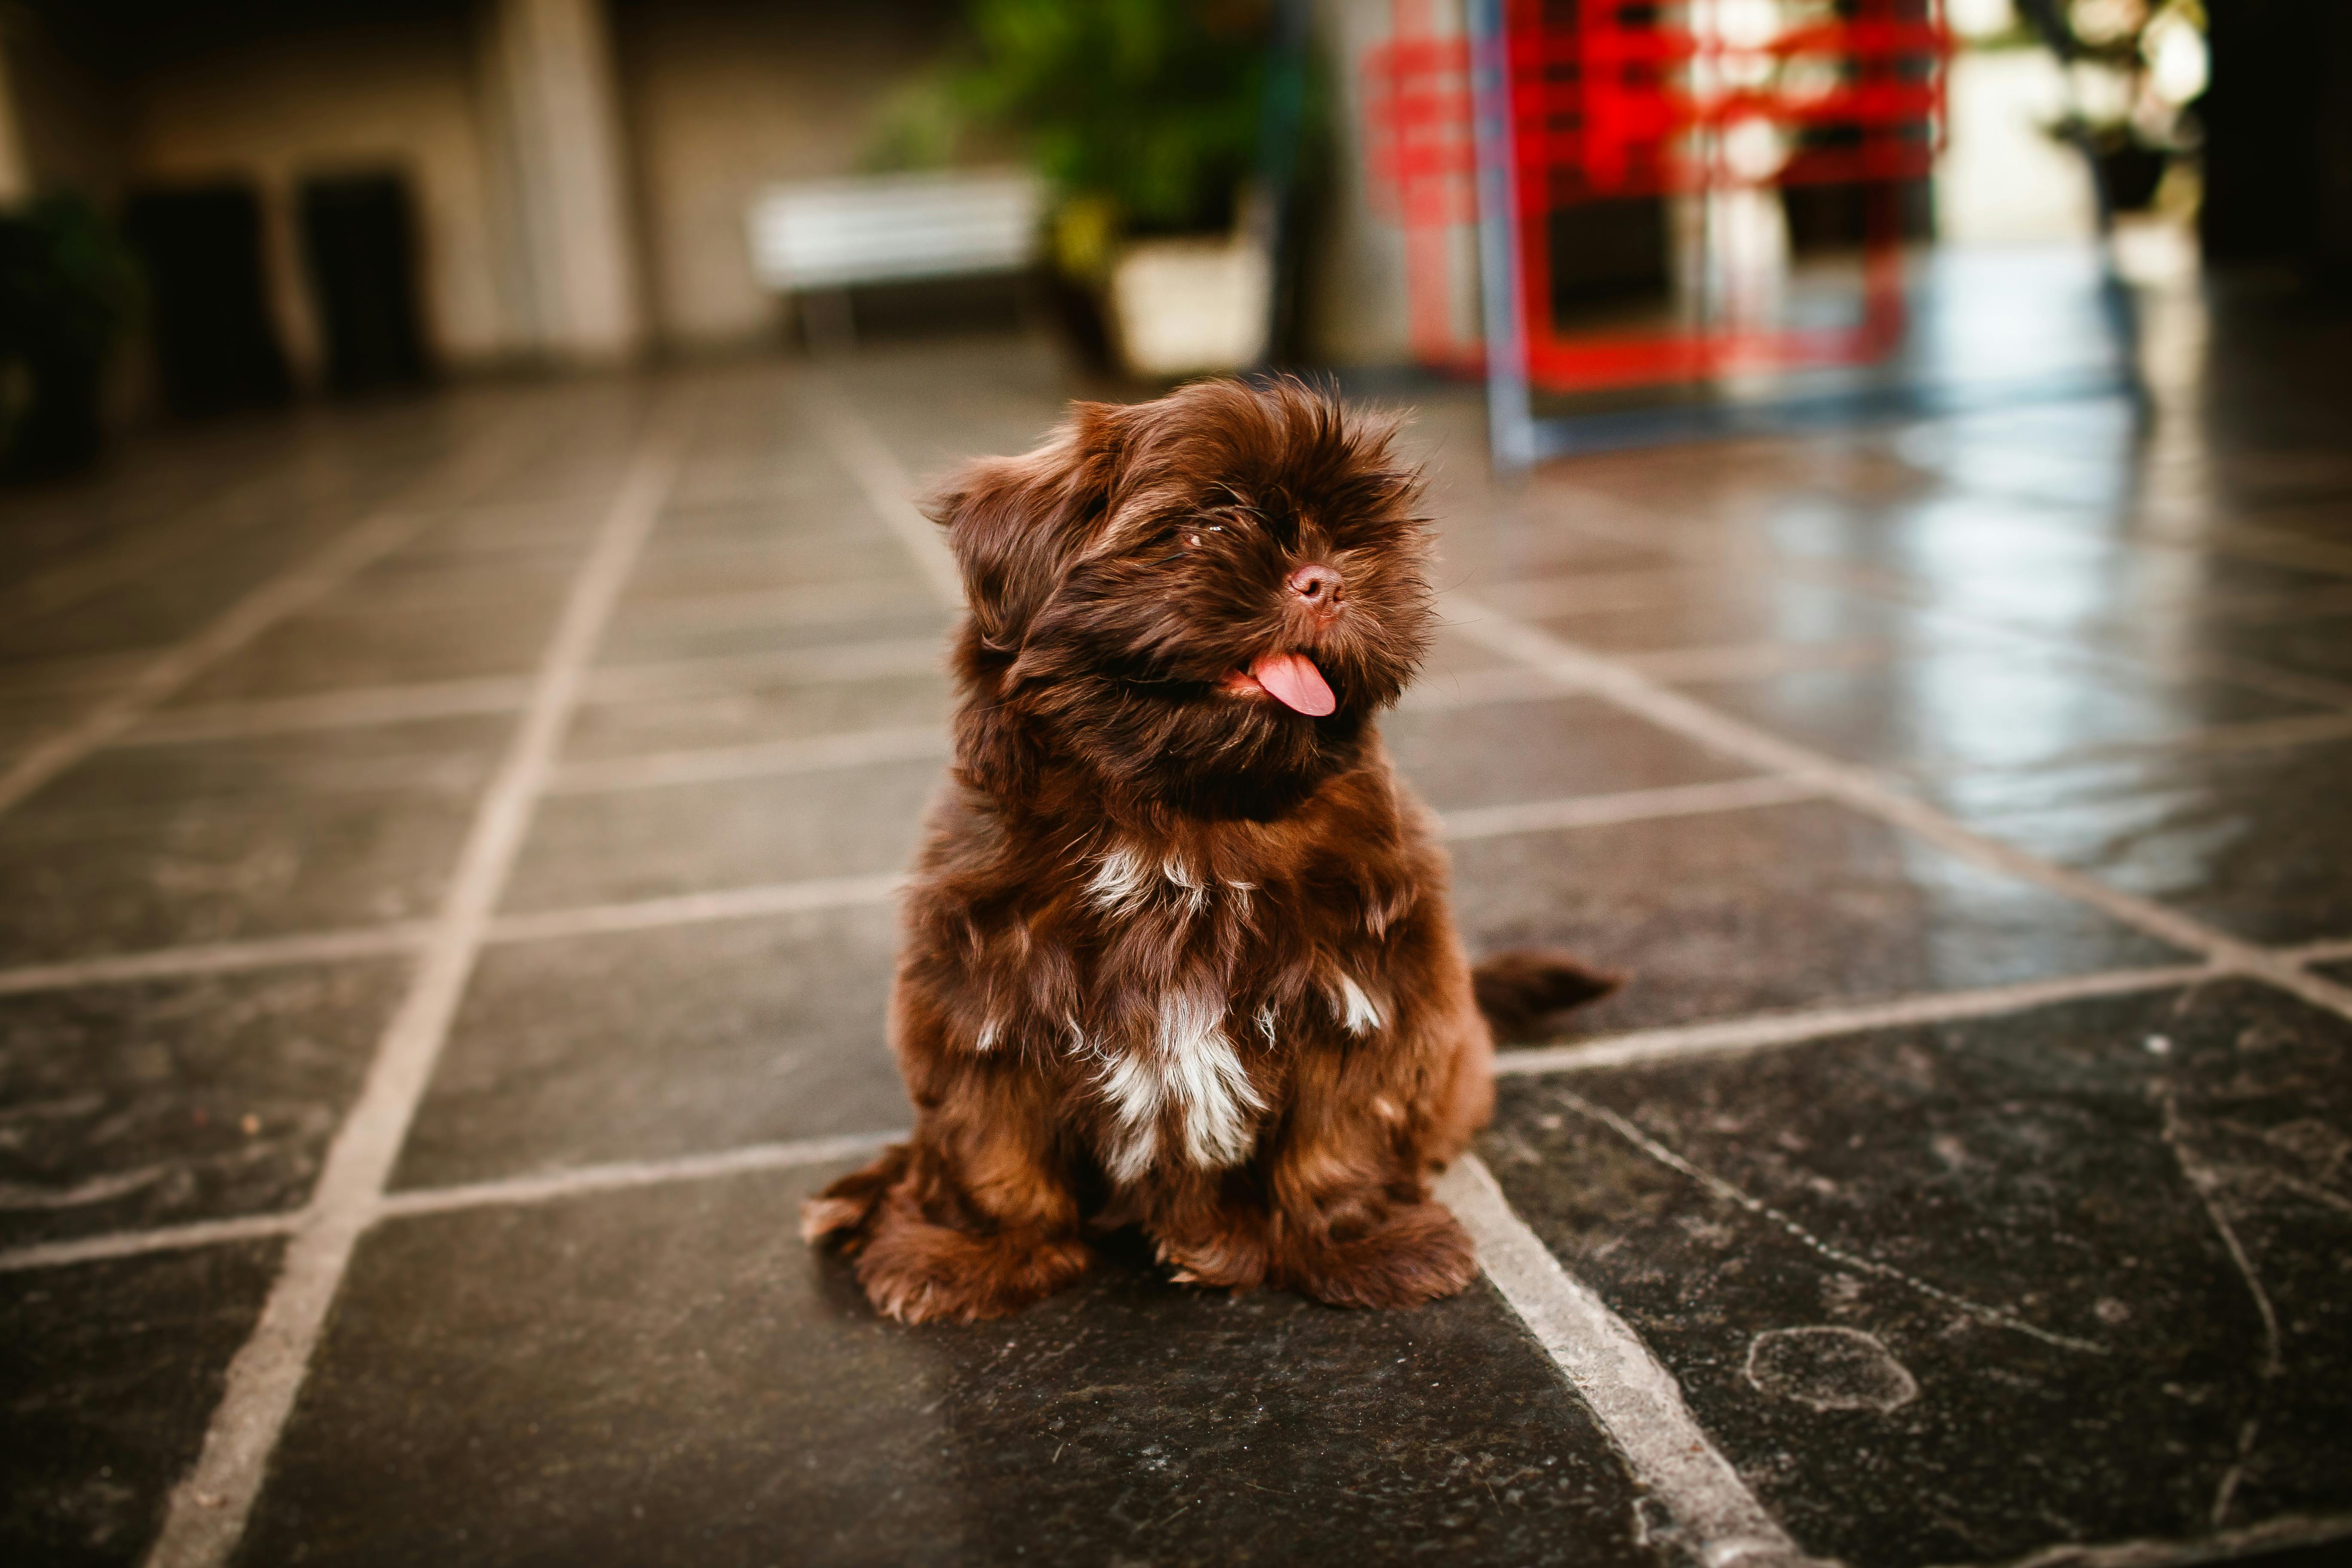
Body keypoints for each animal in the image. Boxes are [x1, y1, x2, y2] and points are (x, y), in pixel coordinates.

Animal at [809, 381, 1618, 1326]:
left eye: (1350, 536)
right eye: (1206, 528)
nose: (1327, 580)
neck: (1184, 823)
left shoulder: (1365, 985)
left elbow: (1342, 1129)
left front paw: (1357, 1240)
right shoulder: (981, 990)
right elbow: (988, 1135)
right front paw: (974, 1248)